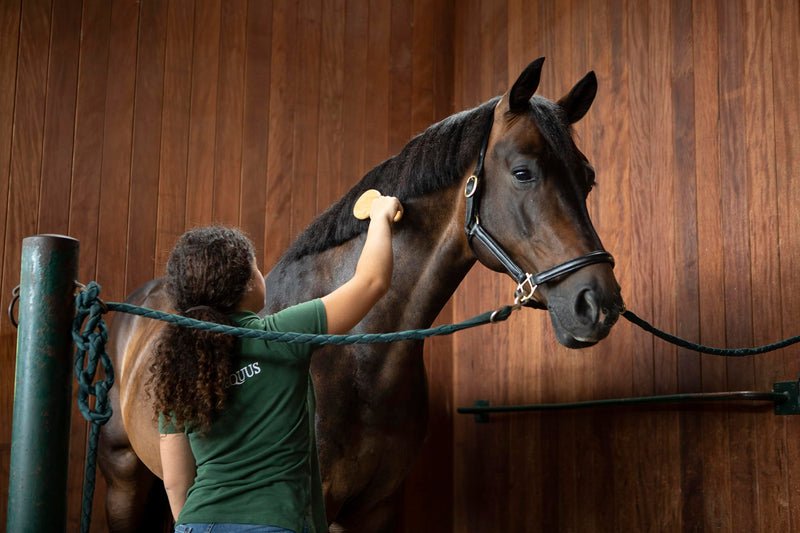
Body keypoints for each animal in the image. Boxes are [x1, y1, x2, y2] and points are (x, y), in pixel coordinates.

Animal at [98, 57, 624, 533]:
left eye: (589, 178)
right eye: (522, 173)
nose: (598, 305)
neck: (357, 356)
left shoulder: (375, 511)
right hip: (122, 476)